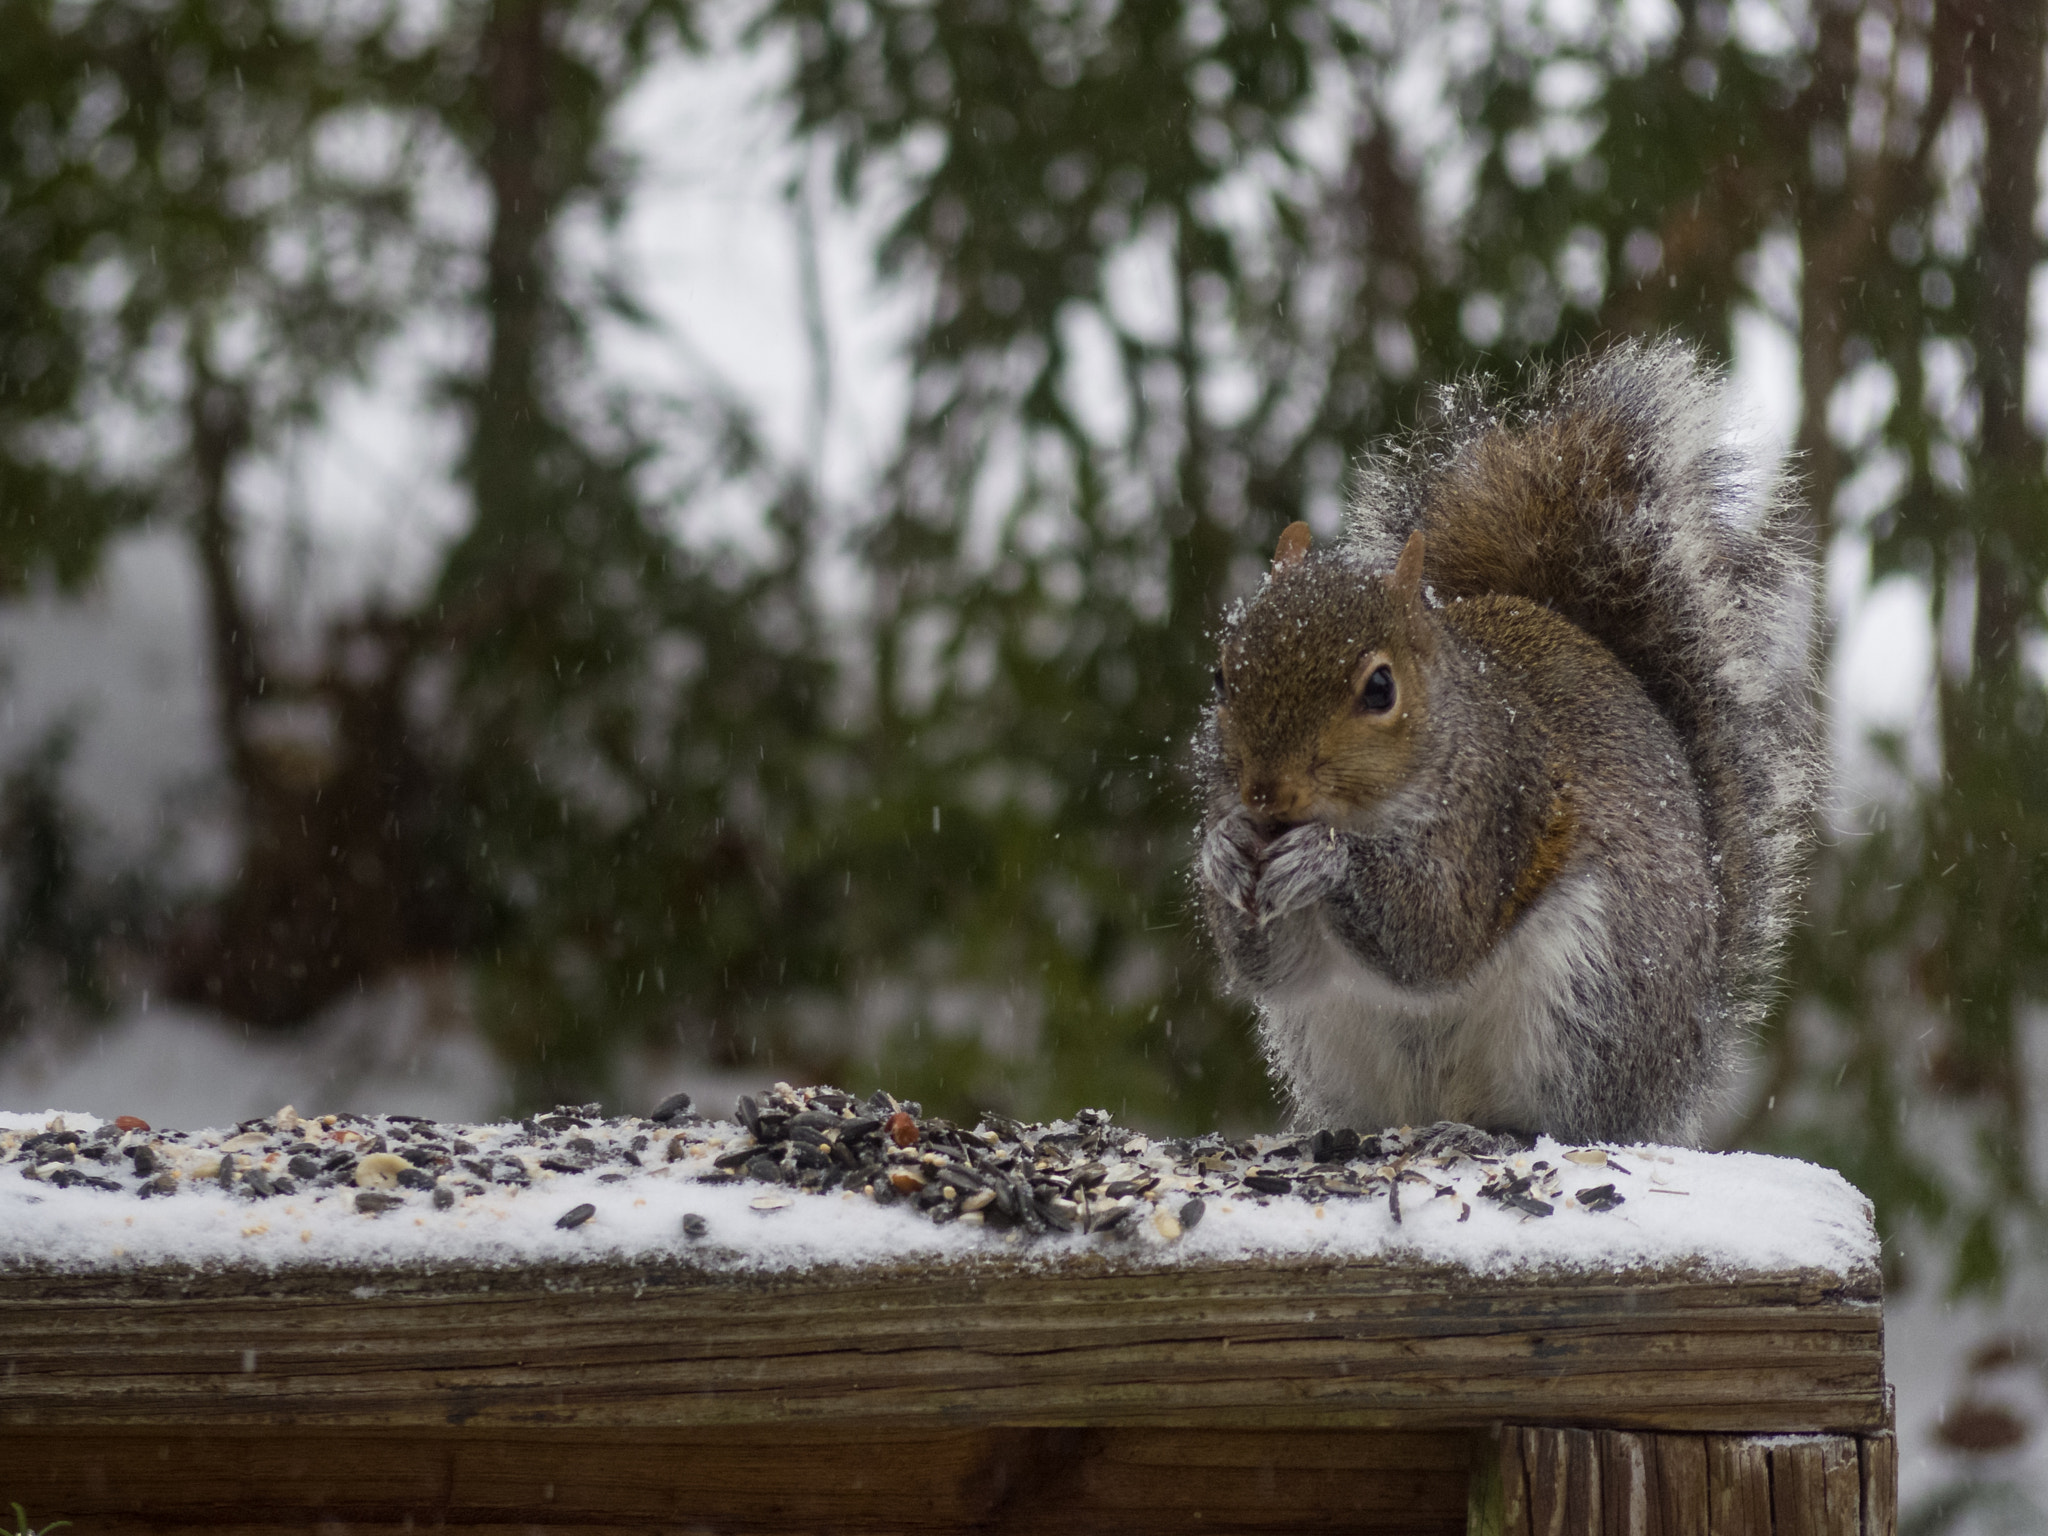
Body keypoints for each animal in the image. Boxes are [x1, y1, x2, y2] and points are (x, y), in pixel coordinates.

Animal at [1196, 342, 1818, 1146]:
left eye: (1380, 688)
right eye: (1221, 674)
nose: (1264, 793)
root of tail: (1675, 1072)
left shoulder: (1501, 809)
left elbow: (1436, 935)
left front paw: (1323, 858)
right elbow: (1274, 969)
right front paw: (1221, 849)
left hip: (1589, 995)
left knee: (1567, 1121)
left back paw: (1484, 1132)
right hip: (1324, 1041)